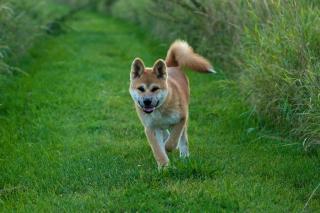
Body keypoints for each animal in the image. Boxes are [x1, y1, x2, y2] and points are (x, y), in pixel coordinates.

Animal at [128, 40, 215, 169]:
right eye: (141, 89)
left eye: (155, 88)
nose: (147, 101)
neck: (160, 110)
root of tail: (171, 66)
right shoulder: (150, 128)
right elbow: (158, 150)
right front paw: (164, 166)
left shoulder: (181, 119)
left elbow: (172, 141)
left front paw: (168, 148)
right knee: (166, 133)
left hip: (184, 121)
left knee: (183, 139)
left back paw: (184, 156)